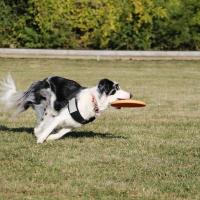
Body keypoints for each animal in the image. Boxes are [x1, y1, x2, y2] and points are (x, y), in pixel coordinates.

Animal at [0, 74, 133, 143]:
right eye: (116, 89)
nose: (131, 95)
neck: (94, 100)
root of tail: (42, 81)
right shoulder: (60, 116)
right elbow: (50, 127)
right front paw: (41, 138)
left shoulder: (75, 123)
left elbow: (62, 132)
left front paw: (51, 137)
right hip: (48, 105)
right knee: (41, 122)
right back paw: (38, 131)